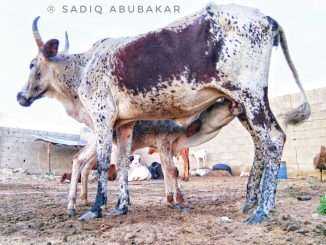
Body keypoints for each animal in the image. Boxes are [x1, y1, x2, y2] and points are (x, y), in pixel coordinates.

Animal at [17, 2, 310, 224]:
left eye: (32, 64)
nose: (21, 96)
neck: (83, 68)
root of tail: (266, 18)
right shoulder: (124, 124)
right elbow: (122, 163)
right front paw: (121, 206)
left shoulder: (103, 118)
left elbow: (102, 164)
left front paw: (96, 209)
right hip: (242, 103)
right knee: (261, 143)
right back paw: (250, 203)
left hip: (251, 95)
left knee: (274, 138)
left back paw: (262, 209)